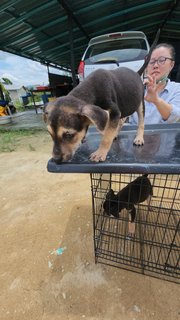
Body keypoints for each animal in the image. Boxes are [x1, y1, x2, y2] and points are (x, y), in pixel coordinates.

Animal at [44, 31, 160, 162]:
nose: (56, 160)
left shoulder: (114, 112)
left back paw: (139, 138)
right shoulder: (111, 114)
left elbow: (106, 137)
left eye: (69, 135)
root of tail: (136, 73)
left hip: (139, 104)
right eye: (50, 133)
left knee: (141, 122)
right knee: (122, 120)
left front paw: (100, 153)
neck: (88, 91)